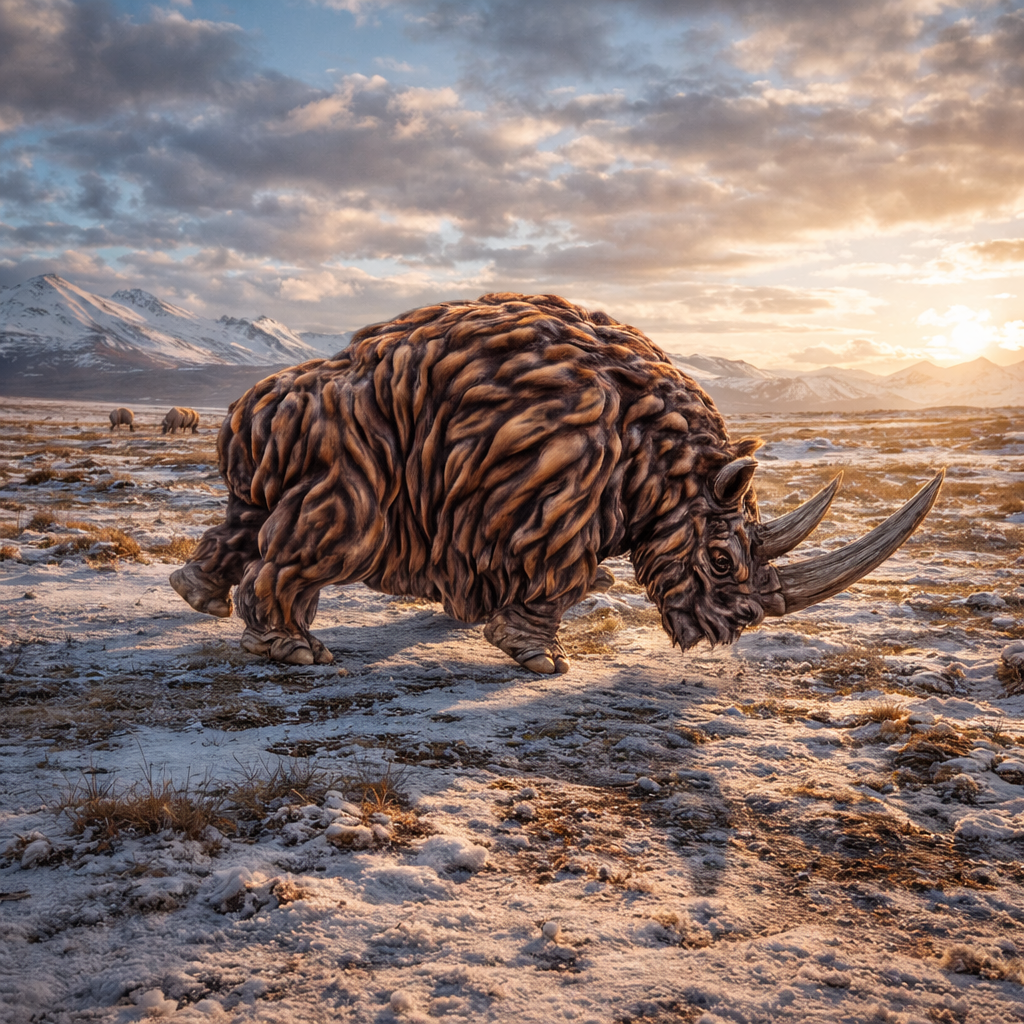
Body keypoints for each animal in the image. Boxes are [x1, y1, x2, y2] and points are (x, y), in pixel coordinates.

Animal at [170, 293, 942, 672]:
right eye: (722, 560)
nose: (733, 630)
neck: (668, 470)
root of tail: (257, 405)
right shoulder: (554, 502)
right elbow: (563, 577)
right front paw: (540, 660)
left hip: (299, 432)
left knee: (252, 512)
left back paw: (197, 596)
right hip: (351, 444)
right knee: (338, 530)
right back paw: (297, 652)